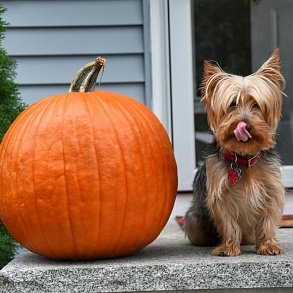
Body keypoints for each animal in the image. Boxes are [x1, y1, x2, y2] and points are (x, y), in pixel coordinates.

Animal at [185, 49, 286, 254]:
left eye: (256, 104)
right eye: (232, 104)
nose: (245, 125)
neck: (244, 158)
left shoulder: (271, 189)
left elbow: (268, 219)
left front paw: (268, 244)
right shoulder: (221, 194)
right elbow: (228, 223)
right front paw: (228, 247)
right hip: (194, 221)